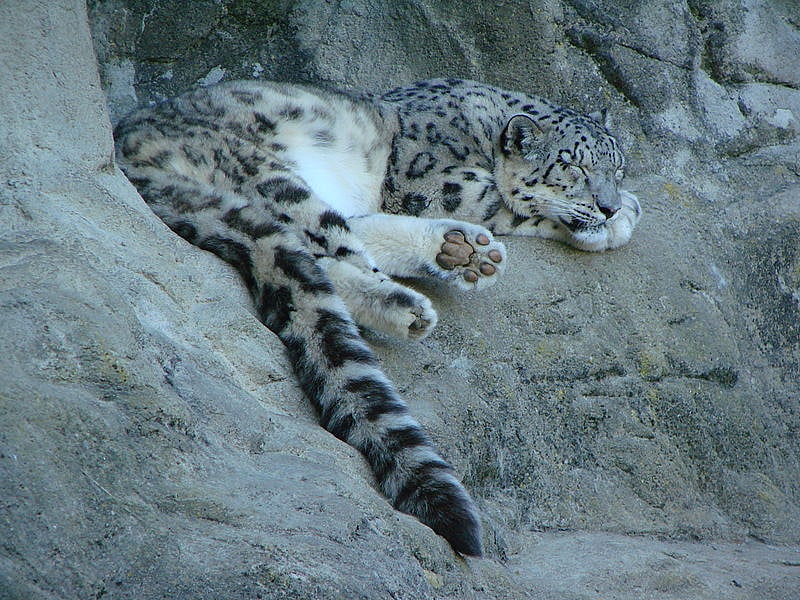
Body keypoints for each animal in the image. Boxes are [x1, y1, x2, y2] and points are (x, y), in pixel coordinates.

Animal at [113, 77, 641, 557]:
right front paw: (621, 218)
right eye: (573, 165)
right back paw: (404, 304)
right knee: (328, 252)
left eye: (617, 167)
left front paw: (620, 211)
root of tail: (125, 154)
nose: (608, 202)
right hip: (269, 177)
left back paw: (461, 251)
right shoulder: (440, 183)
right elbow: (513, 204)